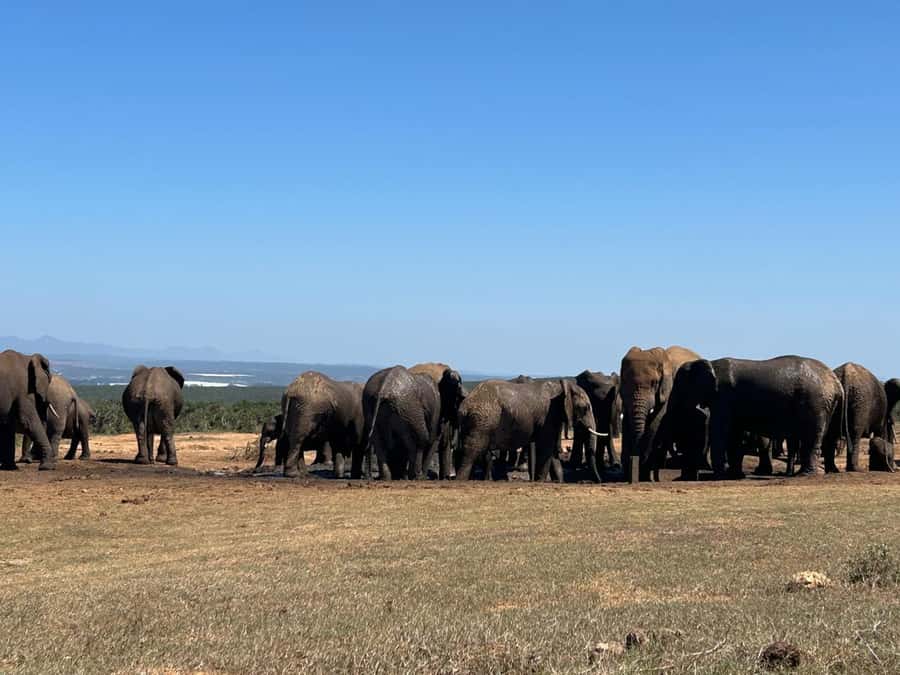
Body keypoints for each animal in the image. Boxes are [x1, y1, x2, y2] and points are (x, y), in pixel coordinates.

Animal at [456, 378, 604, 482]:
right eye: (585, 408)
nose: (599, 481)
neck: (562, 387)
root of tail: (464, 406)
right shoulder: (548, 416)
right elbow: (546, 449)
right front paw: (540, 481)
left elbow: (552, 454)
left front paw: (558, 481)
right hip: (482, 420)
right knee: (472, 451)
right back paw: (461, 480)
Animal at [620, 345, 701, 480]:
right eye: (625, 382)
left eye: (654, 383)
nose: (635, 459)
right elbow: (626, 421)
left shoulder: (669, 390)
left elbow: (657, 420)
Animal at [668, 356, 843, 478]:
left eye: (678, 386)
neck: (710, 363)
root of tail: (836, 382)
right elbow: (734, 433)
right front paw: (734, 475)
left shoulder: (723, 397)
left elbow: (721, 431)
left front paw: (720, 475)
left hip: (815, 403)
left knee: (811, 436)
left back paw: (805, 475)